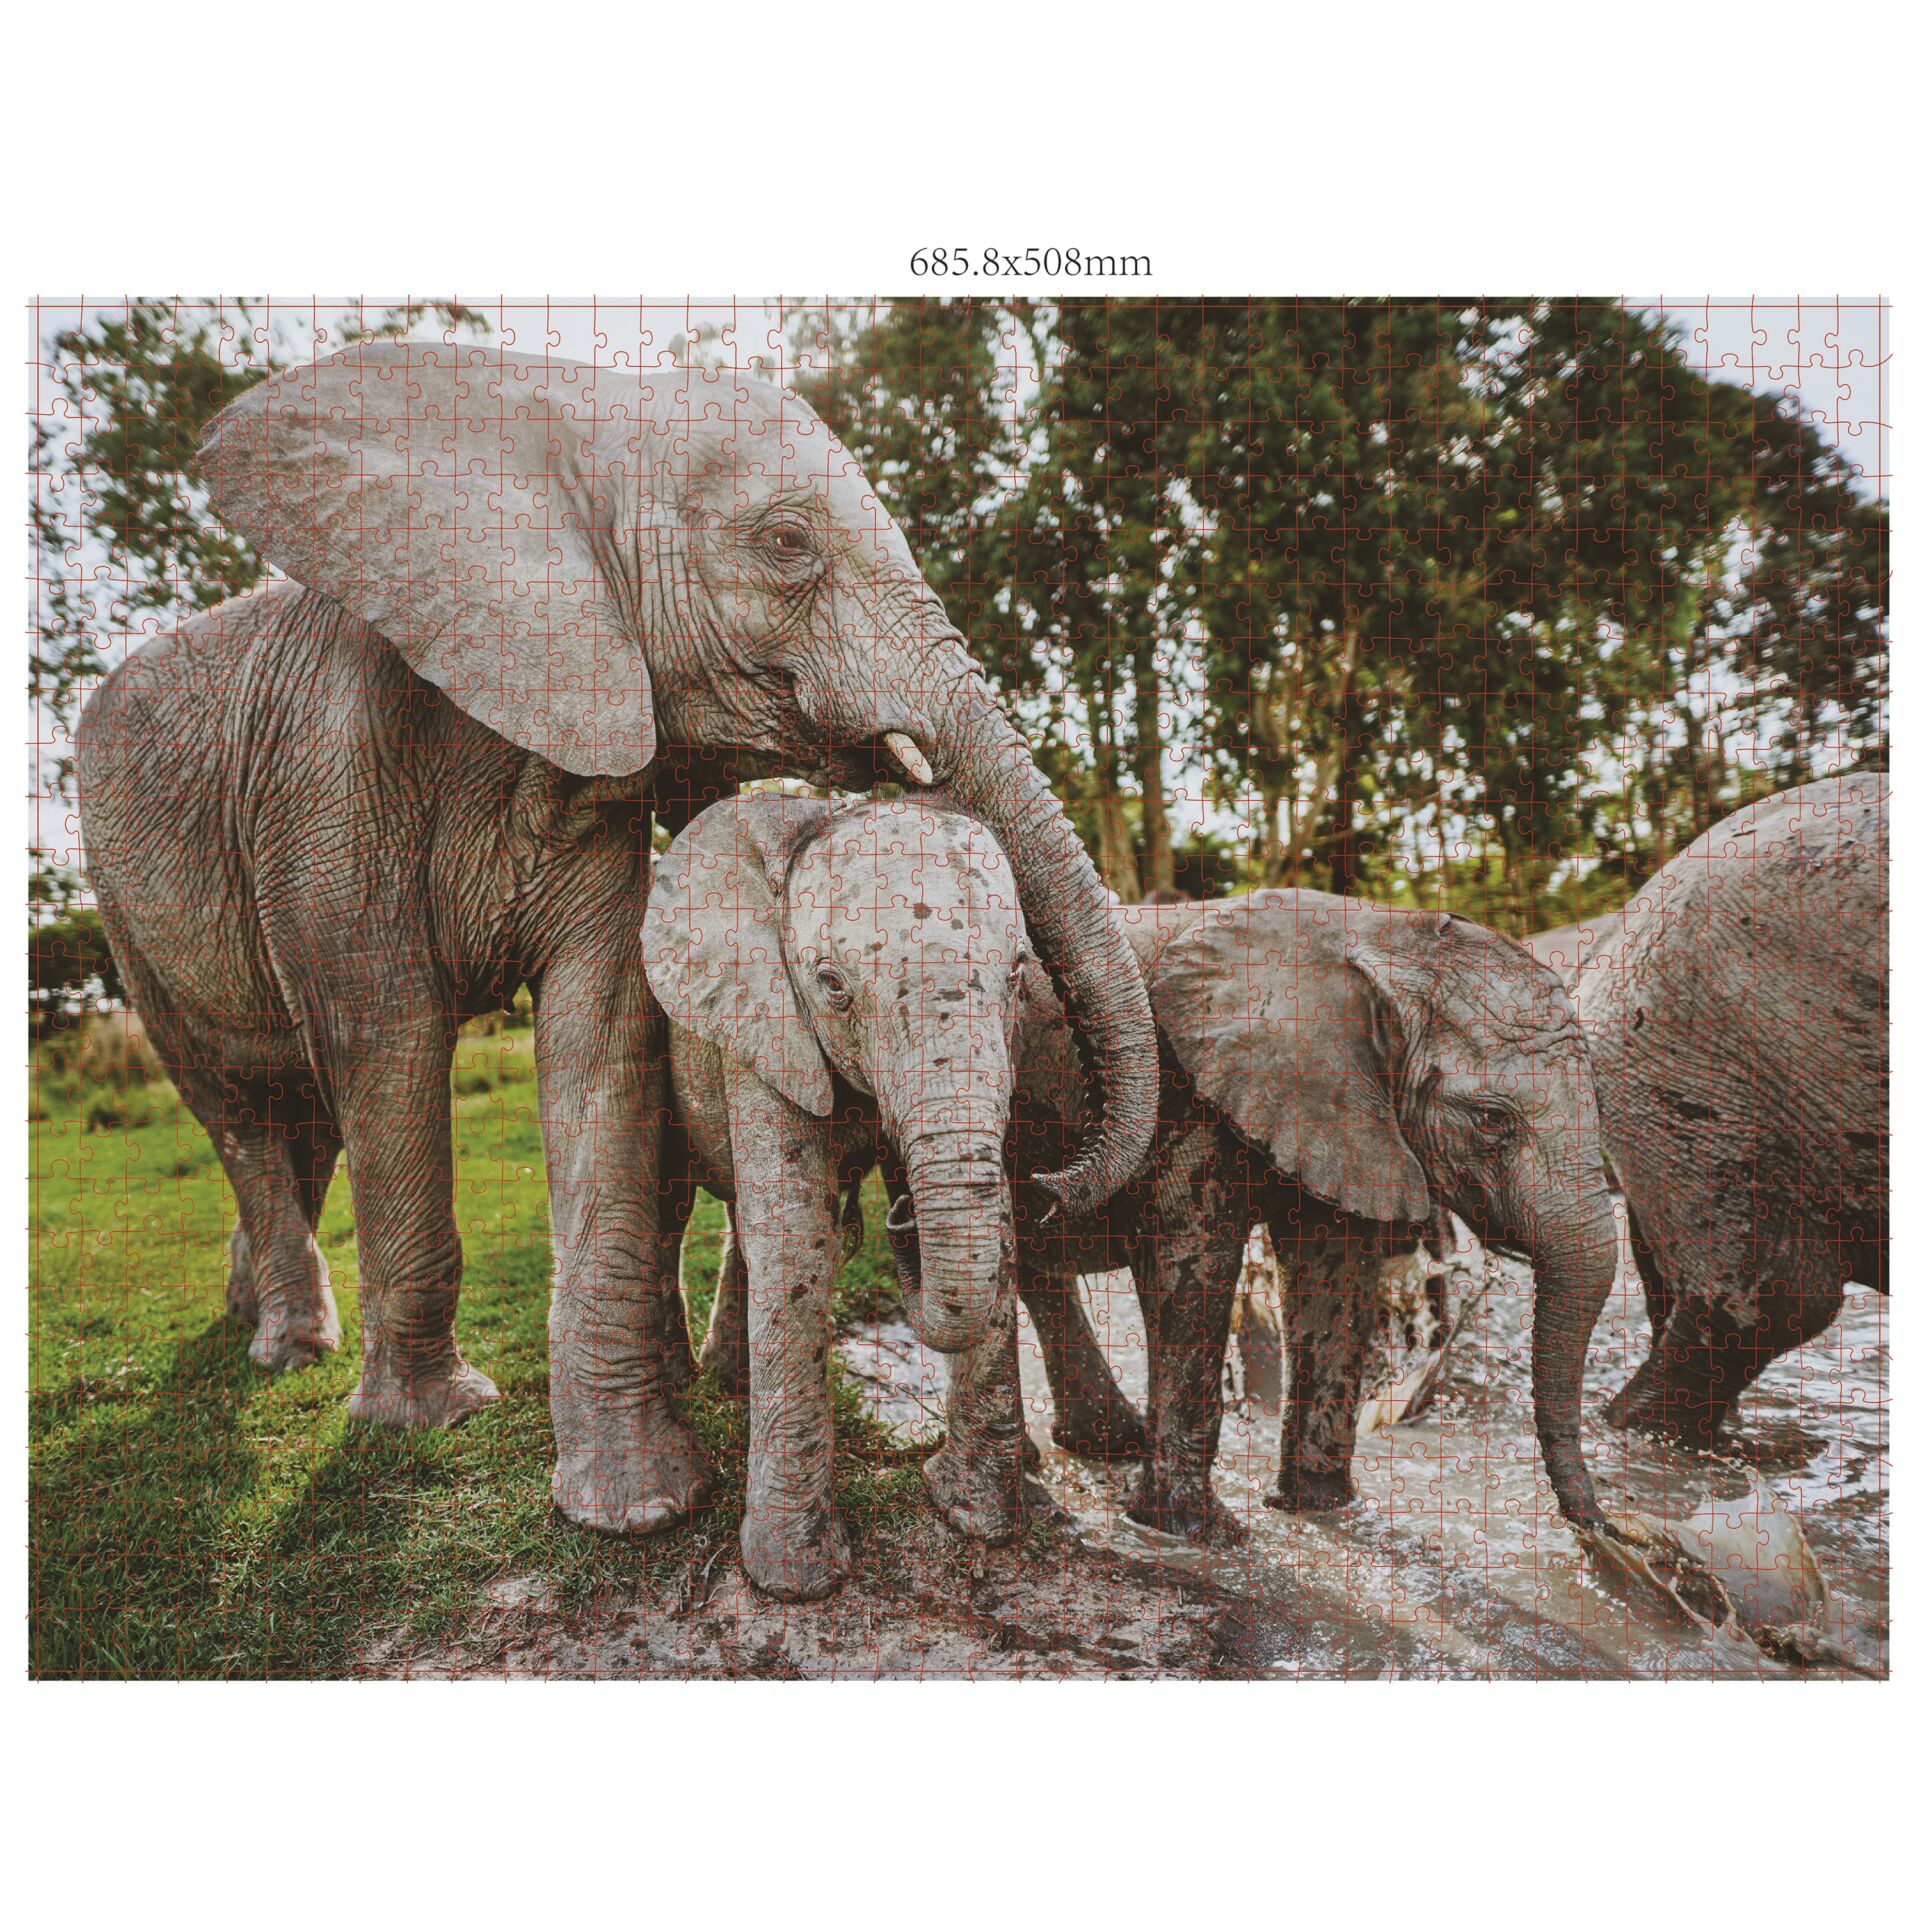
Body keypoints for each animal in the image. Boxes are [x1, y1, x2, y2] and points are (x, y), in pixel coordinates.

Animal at [642, 791, 1036, 1598]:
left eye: (1018, 974)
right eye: (831, 985)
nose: (899, 1215)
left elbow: (1003, 1224)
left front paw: (974, 1518)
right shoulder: (760, 1024)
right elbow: (799, 1241)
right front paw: (797, 1582)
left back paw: (728, 1382)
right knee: (674, 1209)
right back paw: (685, 1384)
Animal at [703, 886, 1622, 1543]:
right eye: (1493, 1122)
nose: (1603, 1534)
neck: (1377, 934)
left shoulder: (1353, 1115)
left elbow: (1332, 1269)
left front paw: (1321, 1509)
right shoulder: (1198, 1096)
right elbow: (1193, 1262)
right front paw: (1192, 1533)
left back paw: (1102, 1443)